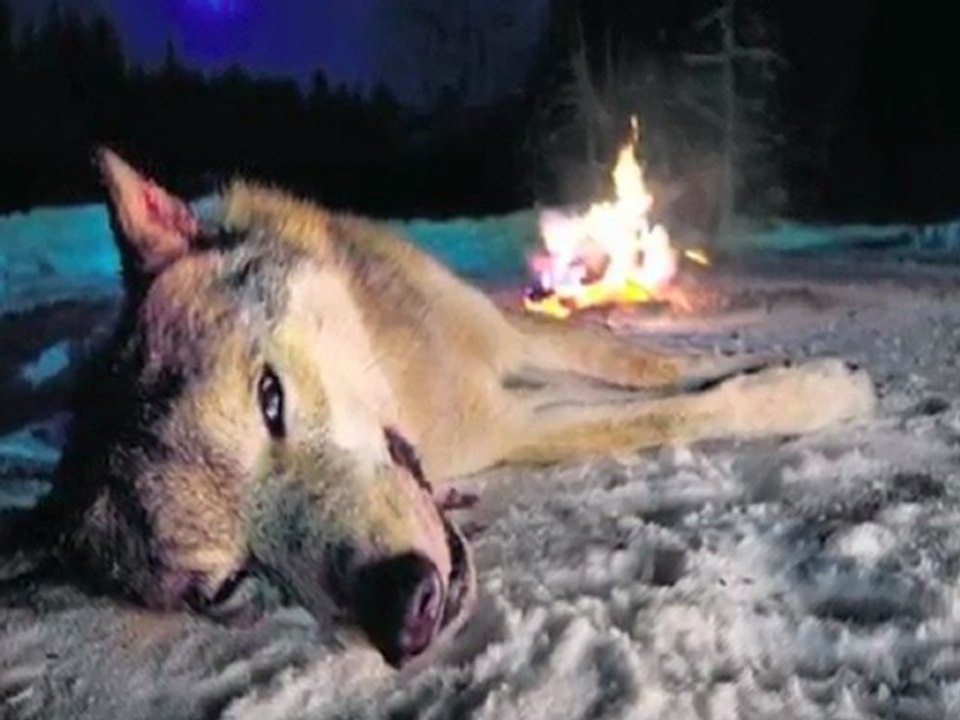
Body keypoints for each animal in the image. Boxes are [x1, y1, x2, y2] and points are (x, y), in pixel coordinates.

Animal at [4, 150, 876, 669]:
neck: (409, 378)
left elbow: (647, 366)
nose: (404, 614)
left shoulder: (511, 340)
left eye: (270, 399)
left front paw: (782, 370)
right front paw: (815, 392)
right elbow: (662, 414)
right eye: (222, 590)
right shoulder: (513, 423)